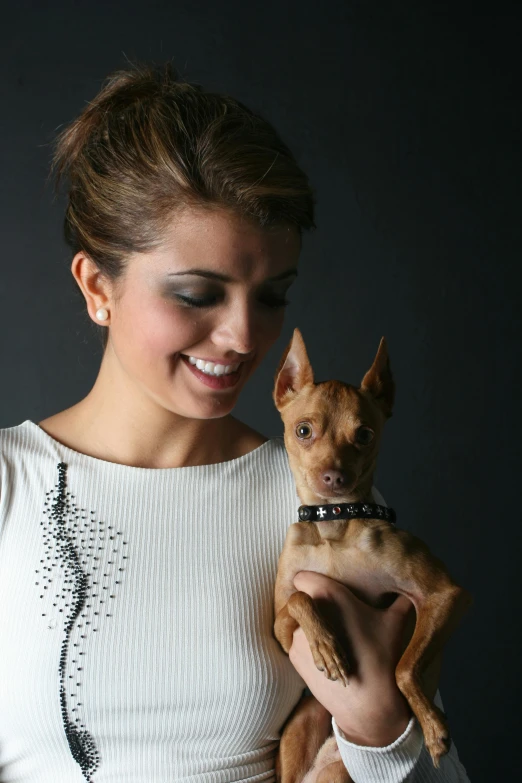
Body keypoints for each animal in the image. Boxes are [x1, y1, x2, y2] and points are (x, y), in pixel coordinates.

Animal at [270, 330, 470, 783]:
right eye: (303, 430)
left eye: (364, 435)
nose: (335, 477)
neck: (335, 524)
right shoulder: (282, 631)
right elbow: (300, 597)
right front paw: (326, 644)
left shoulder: (444, 595)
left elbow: (404, 668)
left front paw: (432, 727)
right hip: (302, 722)